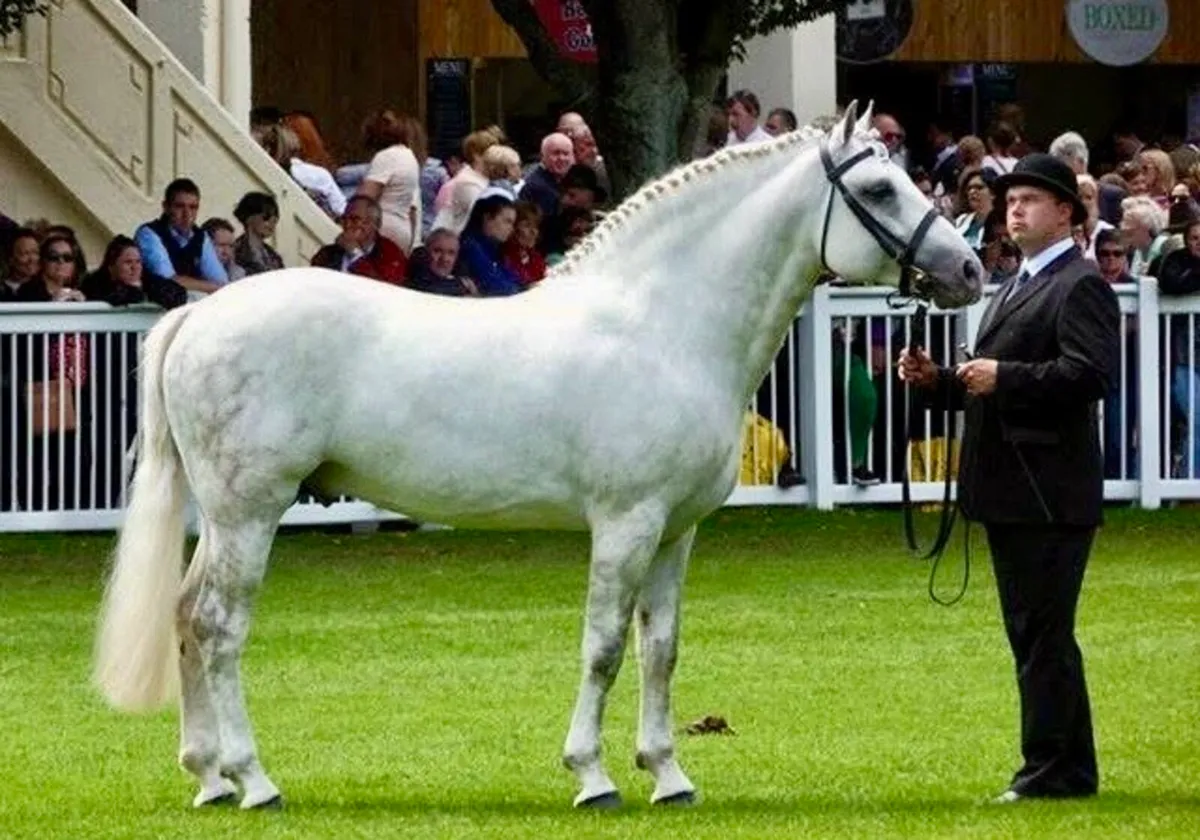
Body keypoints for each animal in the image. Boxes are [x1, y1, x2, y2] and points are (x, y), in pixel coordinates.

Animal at [94, 101, 984, 811]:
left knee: (185, 616)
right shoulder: (625, 524)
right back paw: (254, 781)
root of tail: (200, 319)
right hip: (251, 511)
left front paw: (668, 773)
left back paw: (209, 776)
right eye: (880, 191)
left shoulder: (677, 531)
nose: (970, 268)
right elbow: (605, 646)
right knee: (219, 627)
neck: (663, 324)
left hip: (222, 517)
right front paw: (592, 775)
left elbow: (661, 649)